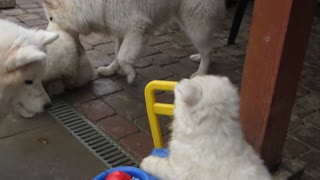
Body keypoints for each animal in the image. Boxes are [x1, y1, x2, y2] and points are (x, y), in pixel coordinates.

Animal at [40, 0, 225, 84]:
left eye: (51, 18)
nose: (48, 35)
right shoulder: (121, 32)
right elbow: (117, 54)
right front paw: (111, 70)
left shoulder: (137, 29)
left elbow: (123, 56)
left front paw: (130, 74)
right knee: (207, 48)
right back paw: (198, 58)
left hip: (195, 24)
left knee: (208, 50)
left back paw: (201, 72)